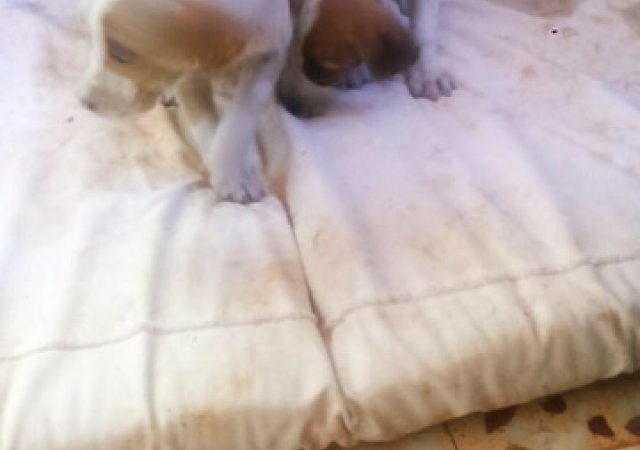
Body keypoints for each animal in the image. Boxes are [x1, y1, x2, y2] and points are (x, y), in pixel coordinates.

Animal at [80, 0, 292, 203]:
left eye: (120, 55)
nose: (84, 102)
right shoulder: (187, 73)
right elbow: (204, 123)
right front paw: (230, 176)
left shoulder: (272, 52)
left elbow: (241, 117)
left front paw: (235, 169)